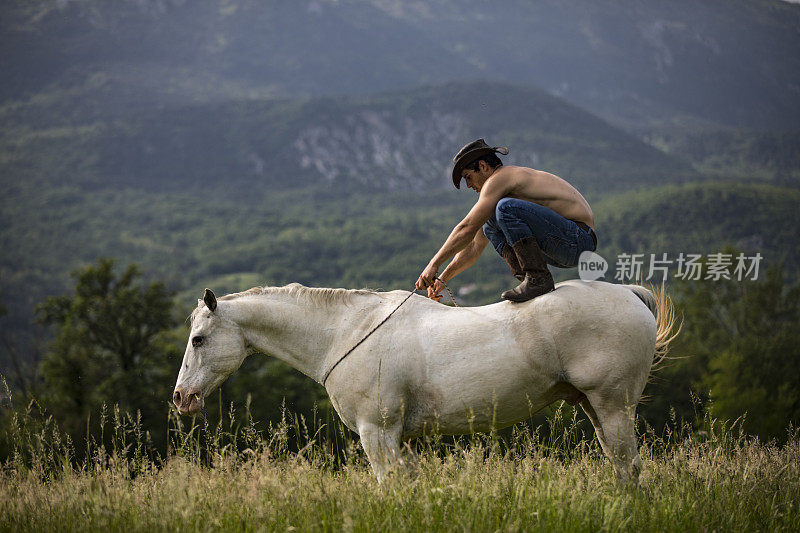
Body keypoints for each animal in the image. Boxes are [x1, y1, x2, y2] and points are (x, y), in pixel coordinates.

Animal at [173, 280, 676, 480]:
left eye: (199, 339)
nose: (181, 398)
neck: (346, 332)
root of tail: (630, 293)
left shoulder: (377, 434)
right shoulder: (401, 439)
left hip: (613, 406)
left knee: (630, 467)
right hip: (594, 408)